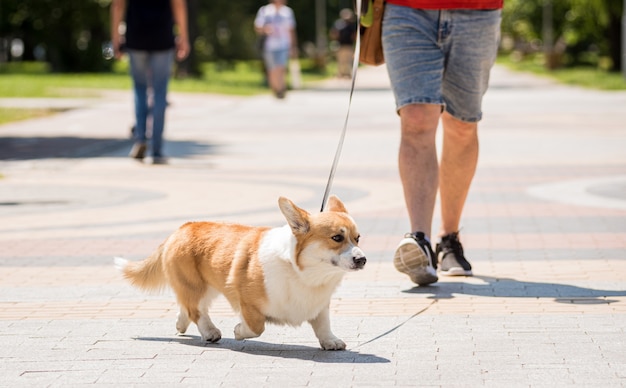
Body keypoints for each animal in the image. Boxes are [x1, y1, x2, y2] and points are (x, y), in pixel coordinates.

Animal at [114, 196, 364, 350]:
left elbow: (323, 324)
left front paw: (330, 341)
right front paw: (238, 331)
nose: (362, 260)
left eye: (357, 238)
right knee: (196, 309)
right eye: (337, 238)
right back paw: (210, 332)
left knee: (188, 307)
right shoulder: (246, 300)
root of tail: (180, 229)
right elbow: (257, 326)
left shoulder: (320, 305)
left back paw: (181, 324)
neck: (303, 273)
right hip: (196, 285)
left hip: (208, 286)